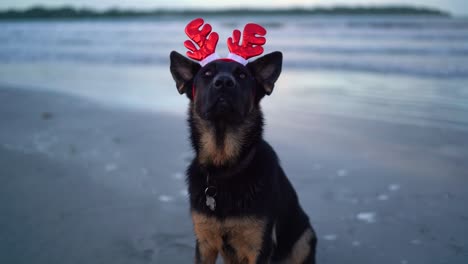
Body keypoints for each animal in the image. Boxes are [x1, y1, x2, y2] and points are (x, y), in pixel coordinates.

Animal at [169, 19, 318, 262]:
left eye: (242, 76)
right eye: (207, 74)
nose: (223, 82)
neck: (224, 169)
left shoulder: (259, 246)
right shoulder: (205, 243)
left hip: (304, 239)